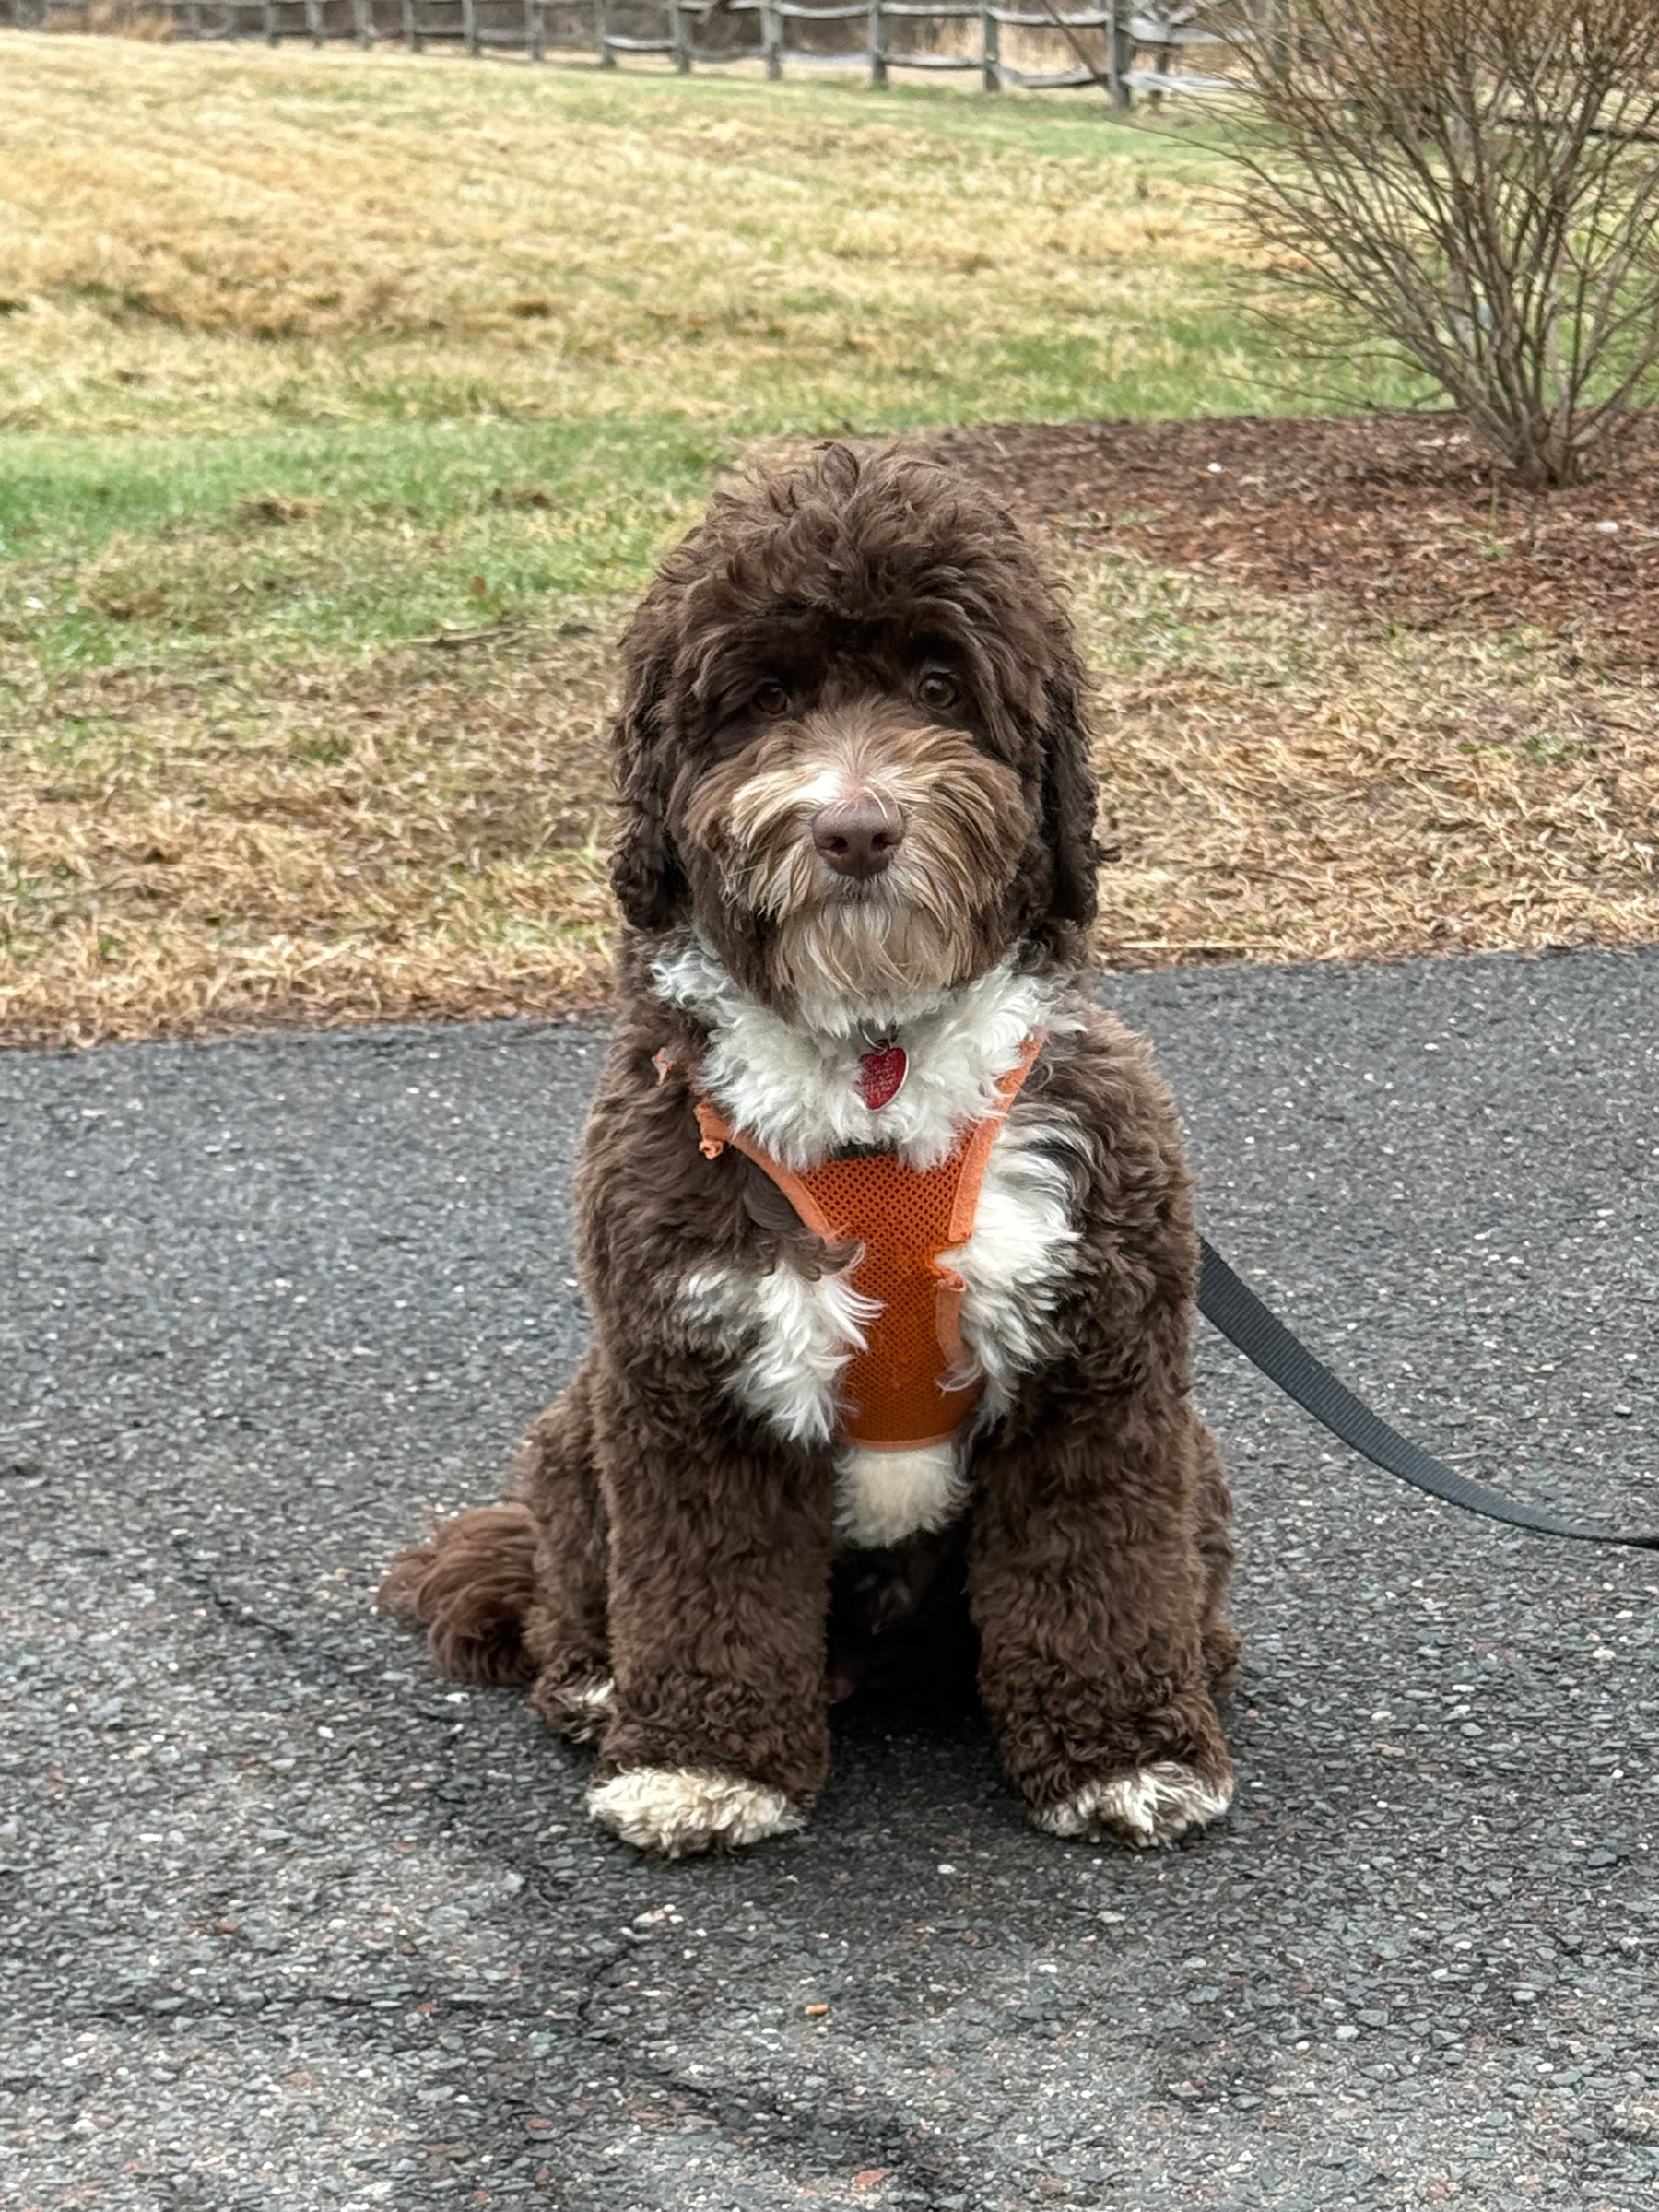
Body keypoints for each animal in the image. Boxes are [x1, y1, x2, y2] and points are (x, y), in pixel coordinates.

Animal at [380, 445, 1239, 1857]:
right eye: (762, 699)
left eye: (941, 684)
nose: (855, 829)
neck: (874, 1080)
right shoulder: (690, 1376)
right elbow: (709, 1585)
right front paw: (702, 1763)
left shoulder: (1100, 1364)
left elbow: (1099, 1568)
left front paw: (1127, 1750)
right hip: (577, 1428)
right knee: (572, 1584)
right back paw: (595, 1679)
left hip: (1192, 1448)